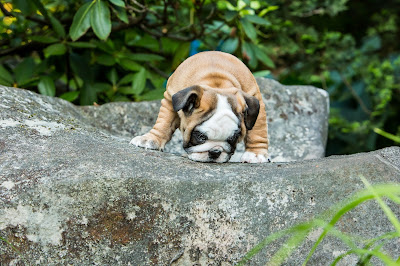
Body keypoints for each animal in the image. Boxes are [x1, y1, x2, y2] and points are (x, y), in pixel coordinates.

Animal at [130, 49, 270, 162]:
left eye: (233, 138)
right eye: (200, 136)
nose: (215, 152)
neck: (216, 83)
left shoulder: (255, 103)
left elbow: (258, 131)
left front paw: (256, 154)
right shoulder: (169, 98)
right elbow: (164, 122)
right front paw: (151, 139)